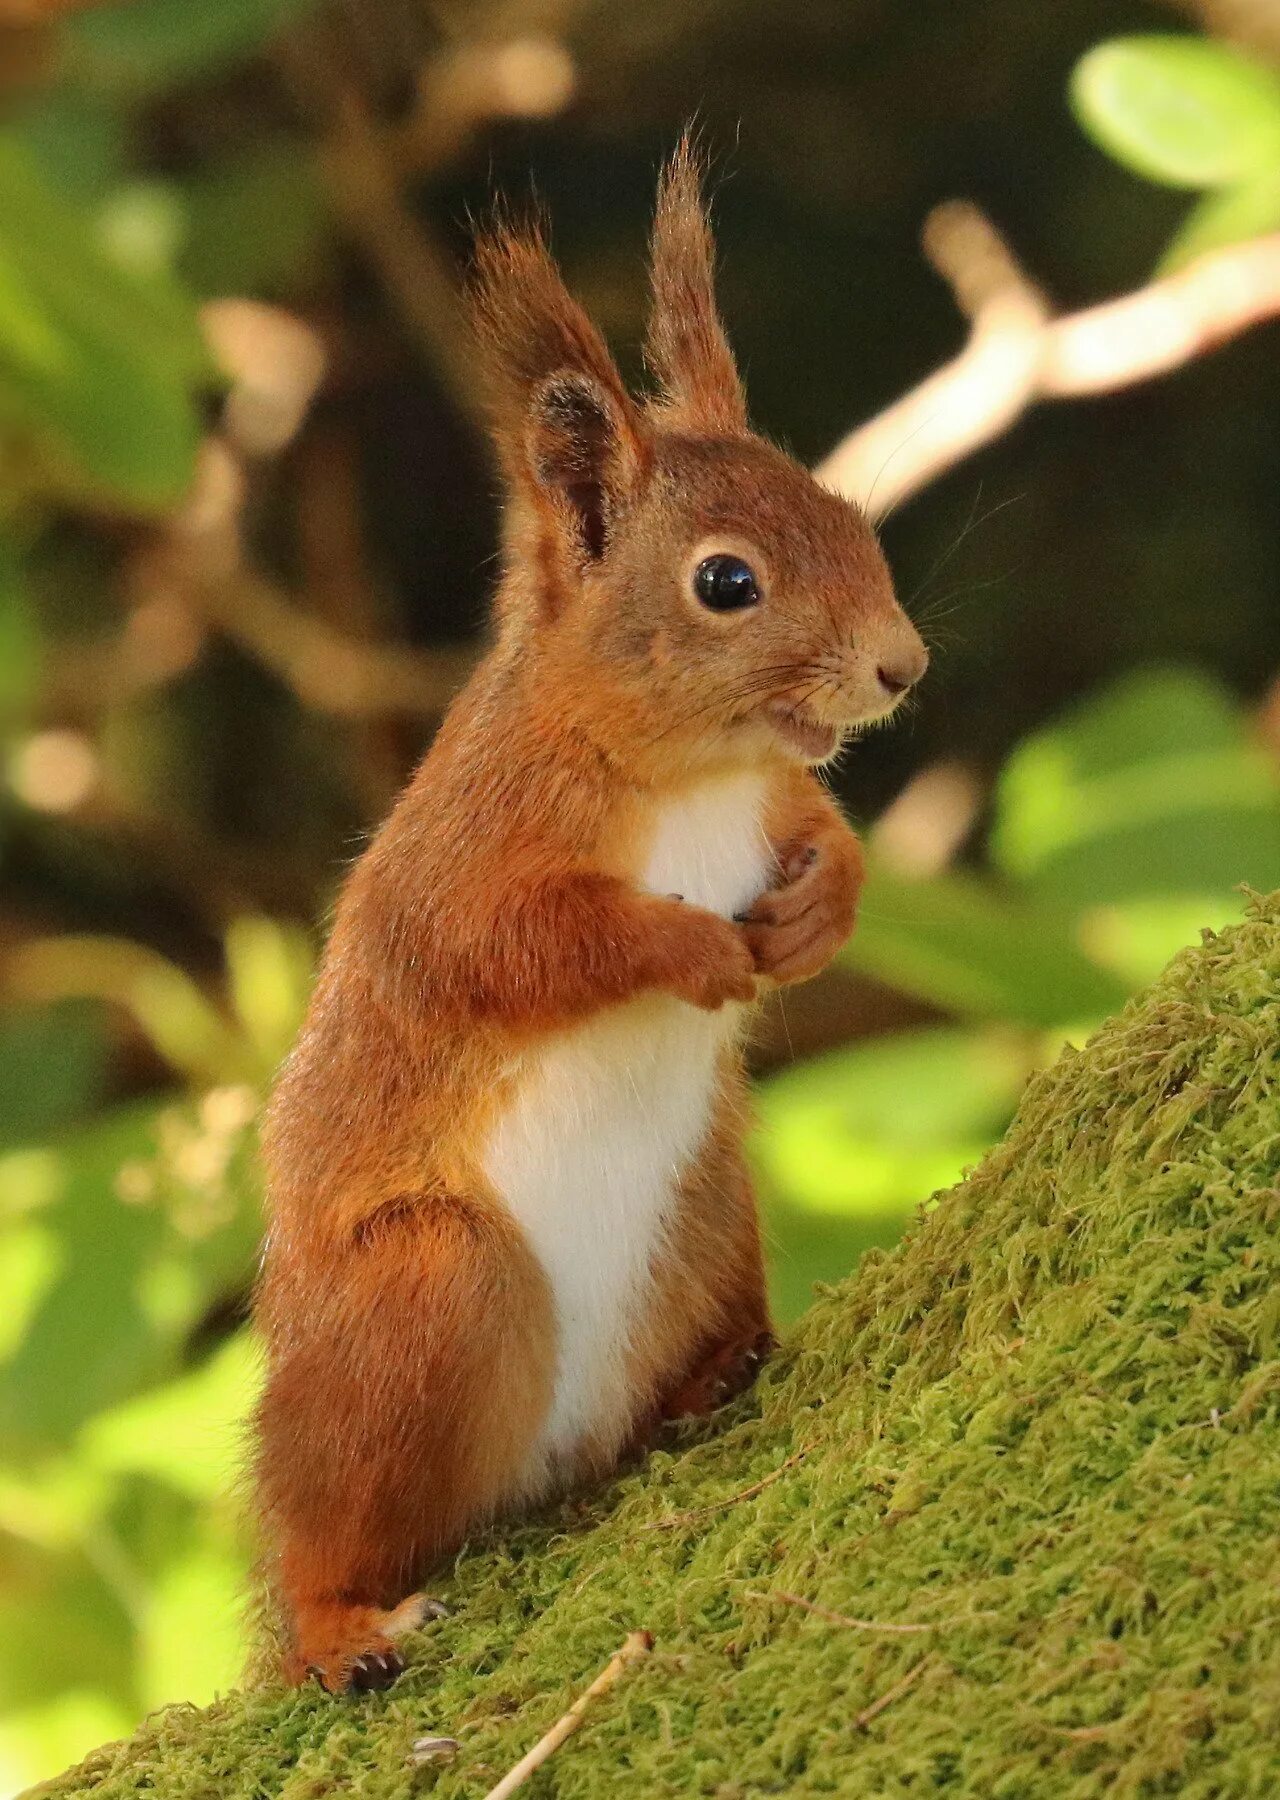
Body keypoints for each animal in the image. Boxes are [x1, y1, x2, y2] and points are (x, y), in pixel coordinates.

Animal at [252, 140, 928, 1684]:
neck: (689, 772)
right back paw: (340, 1627)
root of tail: (540, 1468)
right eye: (726, 582)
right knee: (316, 1537)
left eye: (851, 518)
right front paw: (691, 948)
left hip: (711, 1209)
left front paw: (814, 917)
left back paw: (714, 1376)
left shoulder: (770, 802)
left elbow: (823, 840)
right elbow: (518, 948)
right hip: (418, 1303)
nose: (902, 667)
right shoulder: (464, 856)